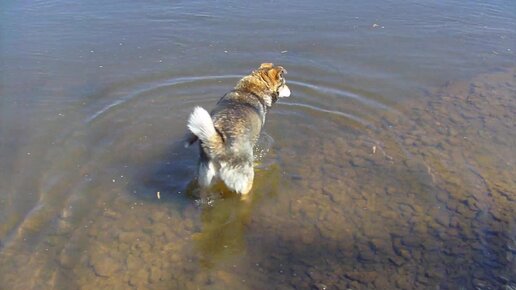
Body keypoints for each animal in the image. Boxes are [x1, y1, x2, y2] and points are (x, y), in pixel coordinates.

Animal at [184, 63, 290, 195]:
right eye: (283, 83)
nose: (290, 91)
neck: (251, 89)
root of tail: (219, 146)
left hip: (204, 178)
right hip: (244, 180)